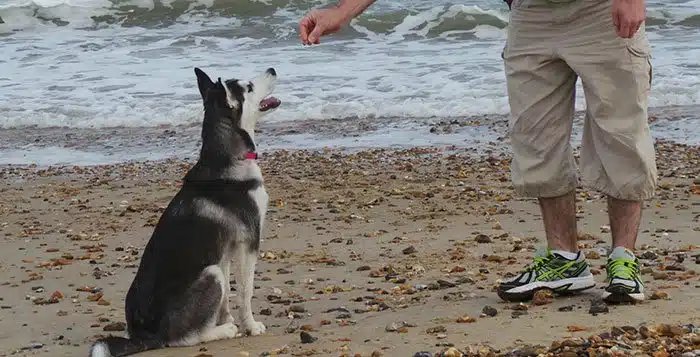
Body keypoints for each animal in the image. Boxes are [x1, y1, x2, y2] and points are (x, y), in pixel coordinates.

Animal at [89, 67, 280, 356]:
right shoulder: (248, 243)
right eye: (248, 86)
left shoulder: (224, 252)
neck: (226, 158)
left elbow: (226, 298)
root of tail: (148, 335)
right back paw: (222, 332)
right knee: (182, 339)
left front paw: (225, 318)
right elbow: (245, 292)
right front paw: (249, 325)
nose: (272, 69)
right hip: (210, 274)